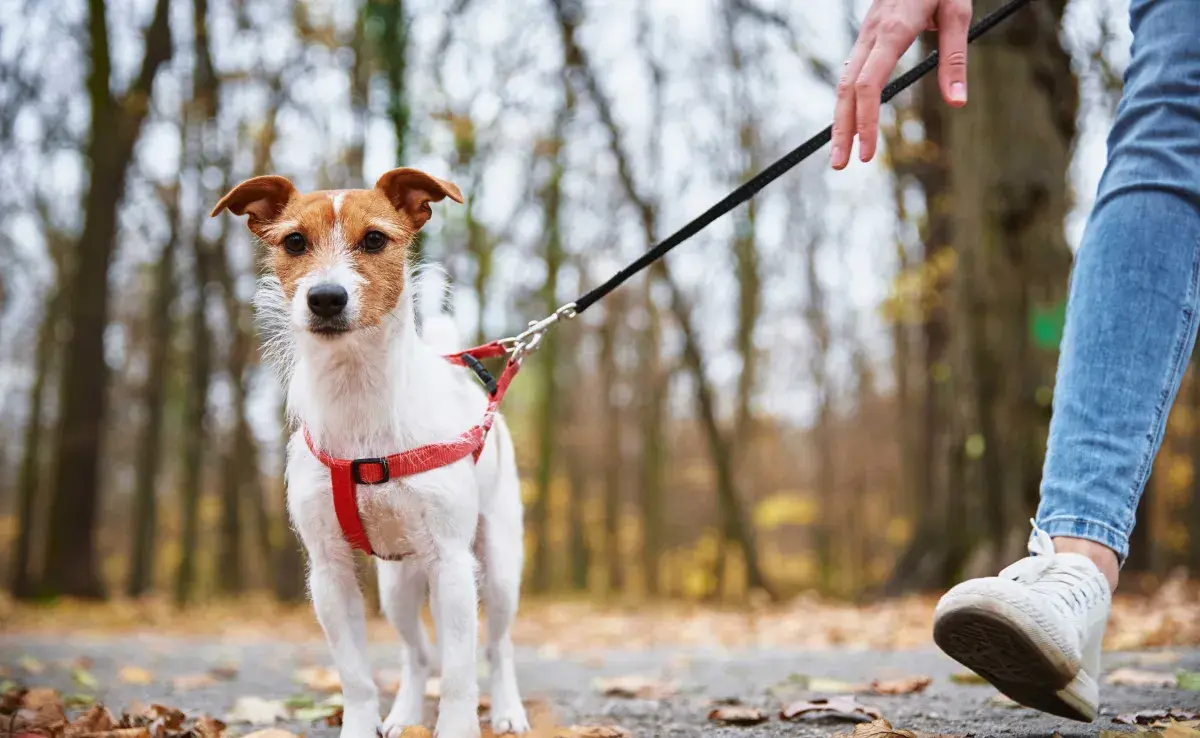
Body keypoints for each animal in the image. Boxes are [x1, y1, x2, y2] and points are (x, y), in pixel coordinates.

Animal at [212, 169, 530, 738]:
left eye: (376, 239)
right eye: (295, 242)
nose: (326, 297)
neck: (359, 396)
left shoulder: (453, 564)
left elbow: (459, 675)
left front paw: (457, 725)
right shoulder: (329, 572)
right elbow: (356, 676)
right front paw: (364, 724)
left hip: (497, 567)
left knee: (497, 646)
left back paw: (509, 709)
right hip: (398, 586)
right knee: (417, 654)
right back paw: (403, 714)